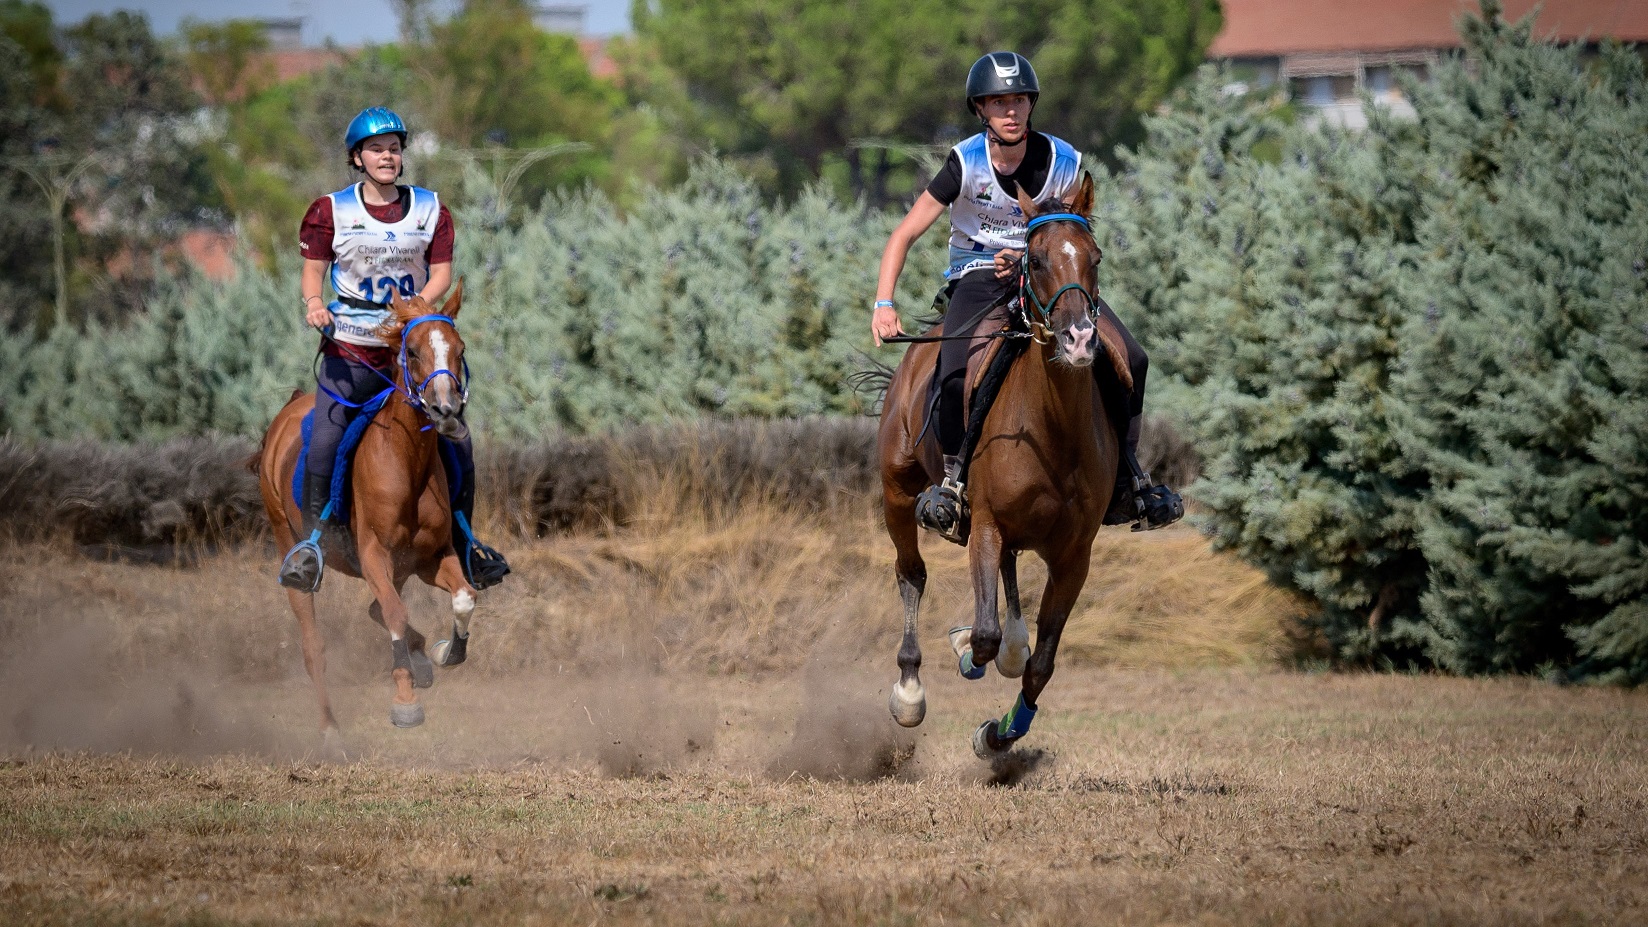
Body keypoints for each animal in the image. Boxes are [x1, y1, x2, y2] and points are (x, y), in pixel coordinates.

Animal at [253, 283, 478, 738]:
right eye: (412, 351)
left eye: (460, 349)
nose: (446, 412)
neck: (406, 460)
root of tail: (285, 414)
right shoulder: (374, 554)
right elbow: (394, 613)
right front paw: (405, 701)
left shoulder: (432, 556)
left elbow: (464, 597)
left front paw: (445, 652)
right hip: (288, 542)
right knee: (314, 646)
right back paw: (330, 730)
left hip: (403, 566)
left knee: (379, 609)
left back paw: (423, 659)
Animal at [877, 171, 1135, 758]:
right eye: (1034, 260)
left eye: (1095, 257)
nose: (1080, 339)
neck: (1054, 431)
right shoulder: (987, 526)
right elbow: (985, 634)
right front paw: (965, 651)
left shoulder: (1075, 555)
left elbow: (1041, 663)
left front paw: (999, 735)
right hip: (897, 488)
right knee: (911, 573)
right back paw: (909, 692)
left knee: (1012, 593)